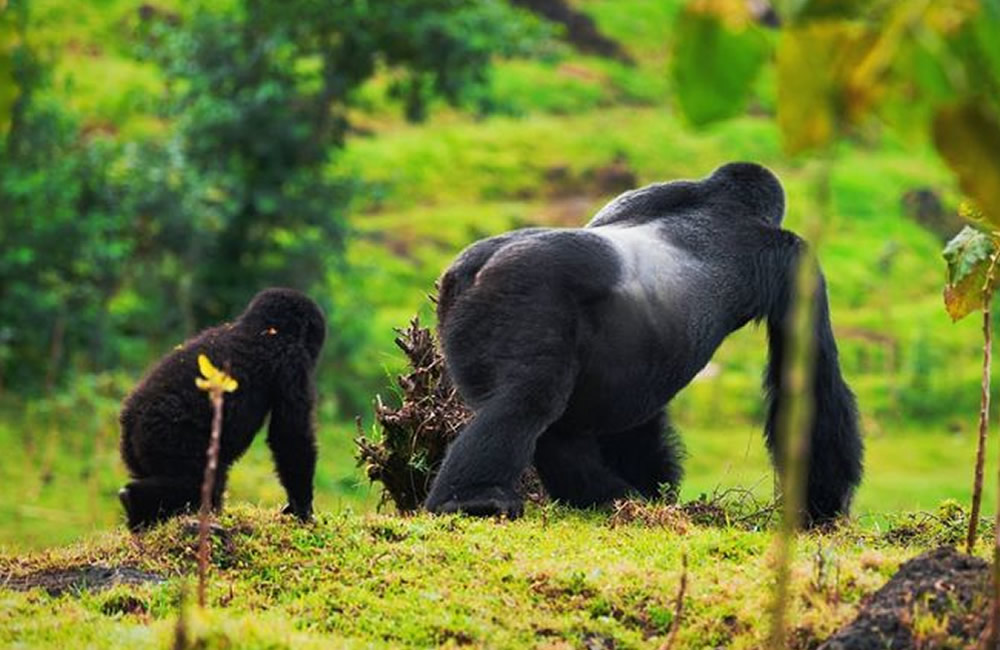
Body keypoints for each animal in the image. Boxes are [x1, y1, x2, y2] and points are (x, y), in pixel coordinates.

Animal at [118, 286, 324, 528]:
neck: (264, 330)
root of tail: (130, 424)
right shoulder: (293, 362)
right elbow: (291, 435)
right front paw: (303, 508)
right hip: (170, 438)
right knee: (198, 481)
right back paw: (134, 500)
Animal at [426, 161, 864, 520]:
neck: (720, 201)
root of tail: (470, 271)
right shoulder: (794, 259)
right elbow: (811, 383)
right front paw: (823, 507)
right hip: (525, 293)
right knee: (527, 401)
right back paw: (476, 499)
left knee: (554, 424)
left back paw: (603, 497)